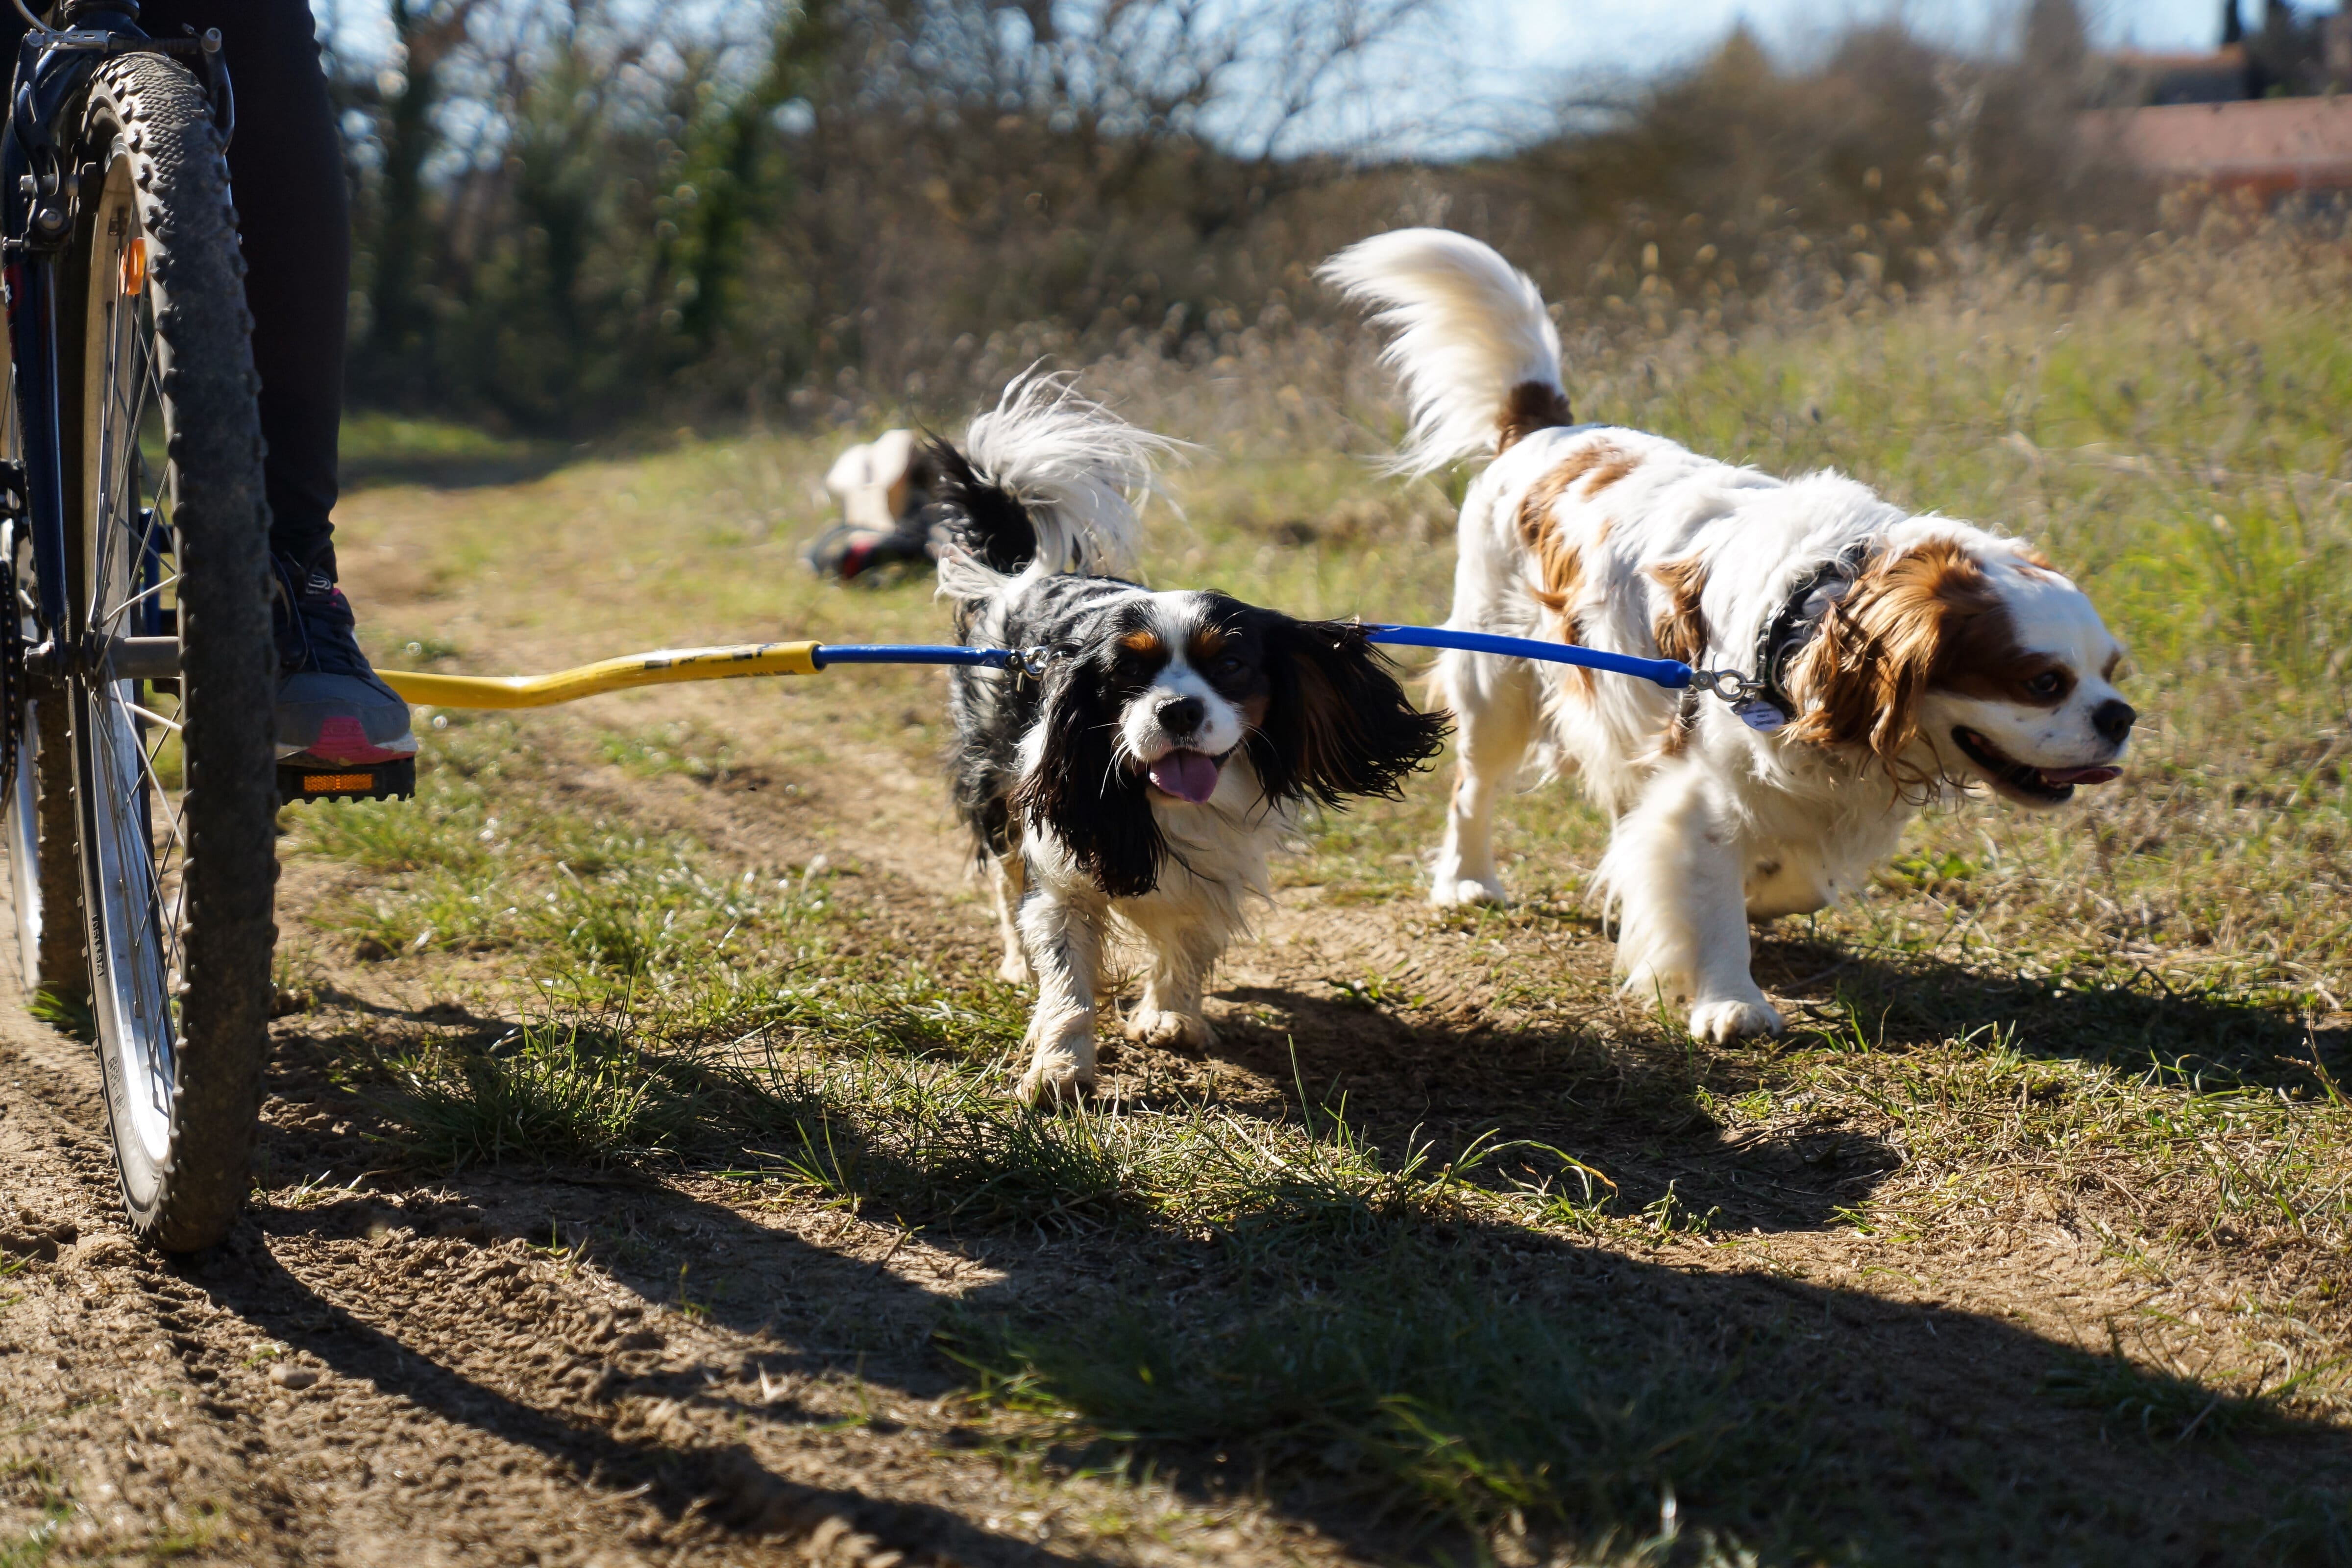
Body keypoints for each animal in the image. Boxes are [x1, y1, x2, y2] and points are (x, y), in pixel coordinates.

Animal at [1326, 230, 2135, 1044]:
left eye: (2113, 673)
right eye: (2042, 683)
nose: (2121, 718)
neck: (1812, 616)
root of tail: (1548, 426)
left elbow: (1802, 880)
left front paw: (1762, 892)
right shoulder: (1708, 792)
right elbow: (1711, 900)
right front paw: (1731, 1002)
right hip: (1500, 682)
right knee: (1474, 788)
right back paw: (1468, 880)